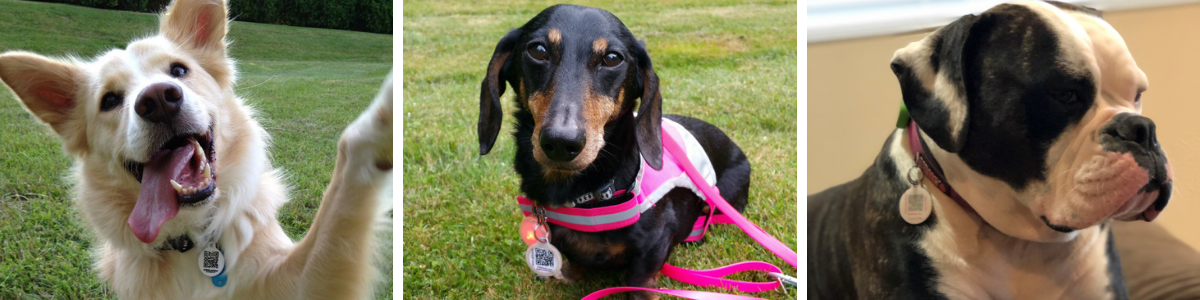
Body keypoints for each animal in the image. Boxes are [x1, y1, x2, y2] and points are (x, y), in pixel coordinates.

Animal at [0, 0, 393, 298]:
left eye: (178, 70)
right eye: (109, 100)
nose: (159, 99)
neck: (191, 243)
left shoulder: (296, 279)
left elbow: (341, 196)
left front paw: (386, 112)